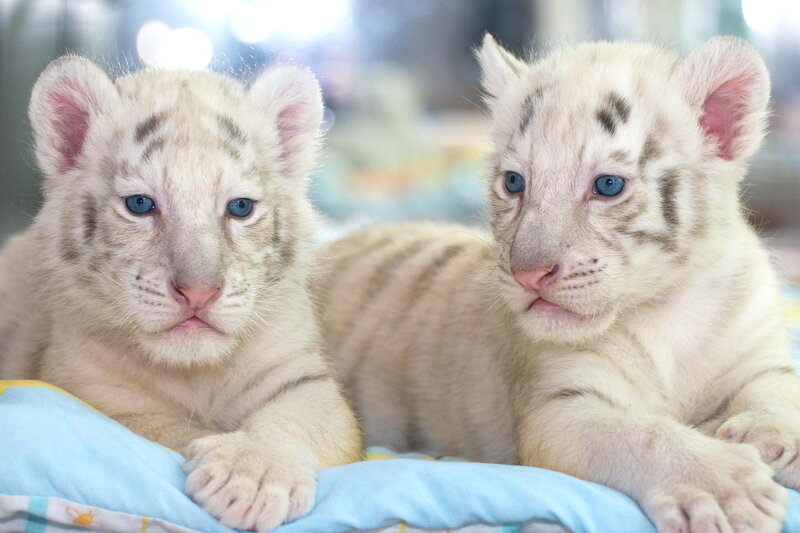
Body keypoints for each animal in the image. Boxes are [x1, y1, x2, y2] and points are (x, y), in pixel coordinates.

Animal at [0, 56, 361, 531]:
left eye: (240, 208)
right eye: (139, 204)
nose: (199, 292)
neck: (197, 372)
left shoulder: (302, 375)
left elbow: (297, 419)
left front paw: (254, 475)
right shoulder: (94, 395)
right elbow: (169, 429)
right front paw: (235, 473)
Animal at [313, 35, 799, 532]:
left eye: (608, 185)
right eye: (514, 182)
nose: (527, 273)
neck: (667, 305)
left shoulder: (760, 355)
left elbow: (781, 388)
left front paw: (769, 436)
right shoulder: (562, 406)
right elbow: (641, 434)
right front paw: (728, 488)